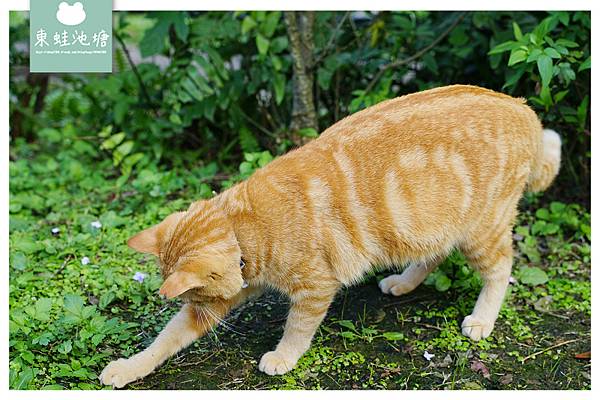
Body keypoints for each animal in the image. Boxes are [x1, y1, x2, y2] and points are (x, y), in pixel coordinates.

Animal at [99, 84, 564, 388]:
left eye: (196, 295)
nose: (199, 309)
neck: (246, 226)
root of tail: (524, 107)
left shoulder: (315, 288)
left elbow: (297, 328)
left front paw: (283, 357)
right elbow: (165, 340)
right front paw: (129, 367)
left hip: (481, 231)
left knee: (501, 269)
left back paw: (482, 319)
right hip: (430, 226)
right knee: (434, 254)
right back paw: (403, 282)